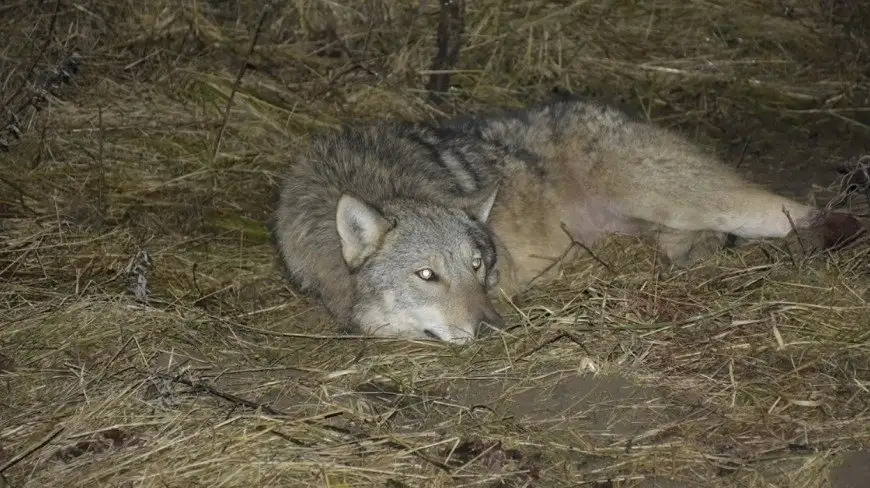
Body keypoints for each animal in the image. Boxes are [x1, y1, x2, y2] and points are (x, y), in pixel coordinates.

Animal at [270, 98, 864, 344]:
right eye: (426, 275)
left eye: (478, 266)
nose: (493, 329)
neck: (380, 179)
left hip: (692, 200)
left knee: (824, 214)